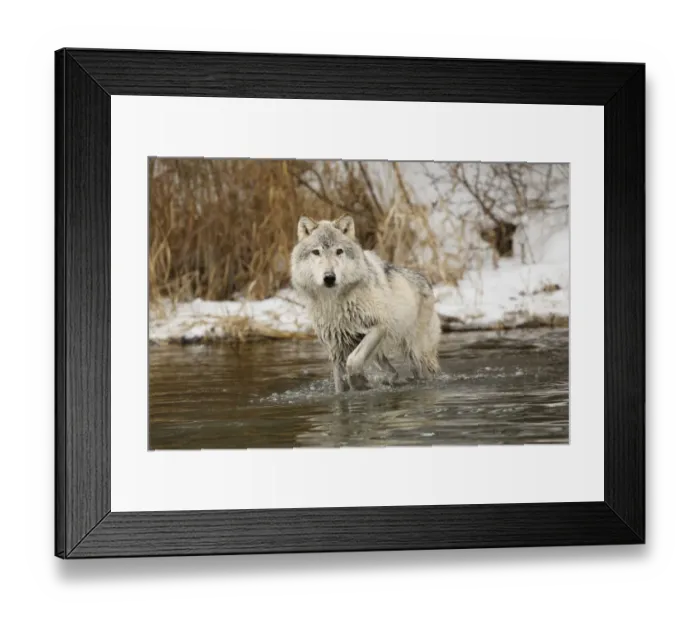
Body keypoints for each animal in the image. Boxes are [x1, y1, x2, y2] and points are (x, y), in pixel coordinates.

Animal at [290, 214, 441, 393]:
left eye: (339, 251)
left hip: (416, 353)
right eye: (316, 252)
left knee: (422, 372)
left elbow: (353, 362)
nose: (329, 277)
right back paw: (391, 380)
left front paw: (359, 383)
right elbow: (340, 382)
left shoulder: (379, 326)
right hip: (380, 355)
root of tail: (426, 281)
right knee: (393, 371)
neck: (334, 302)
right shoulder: (336, 347)